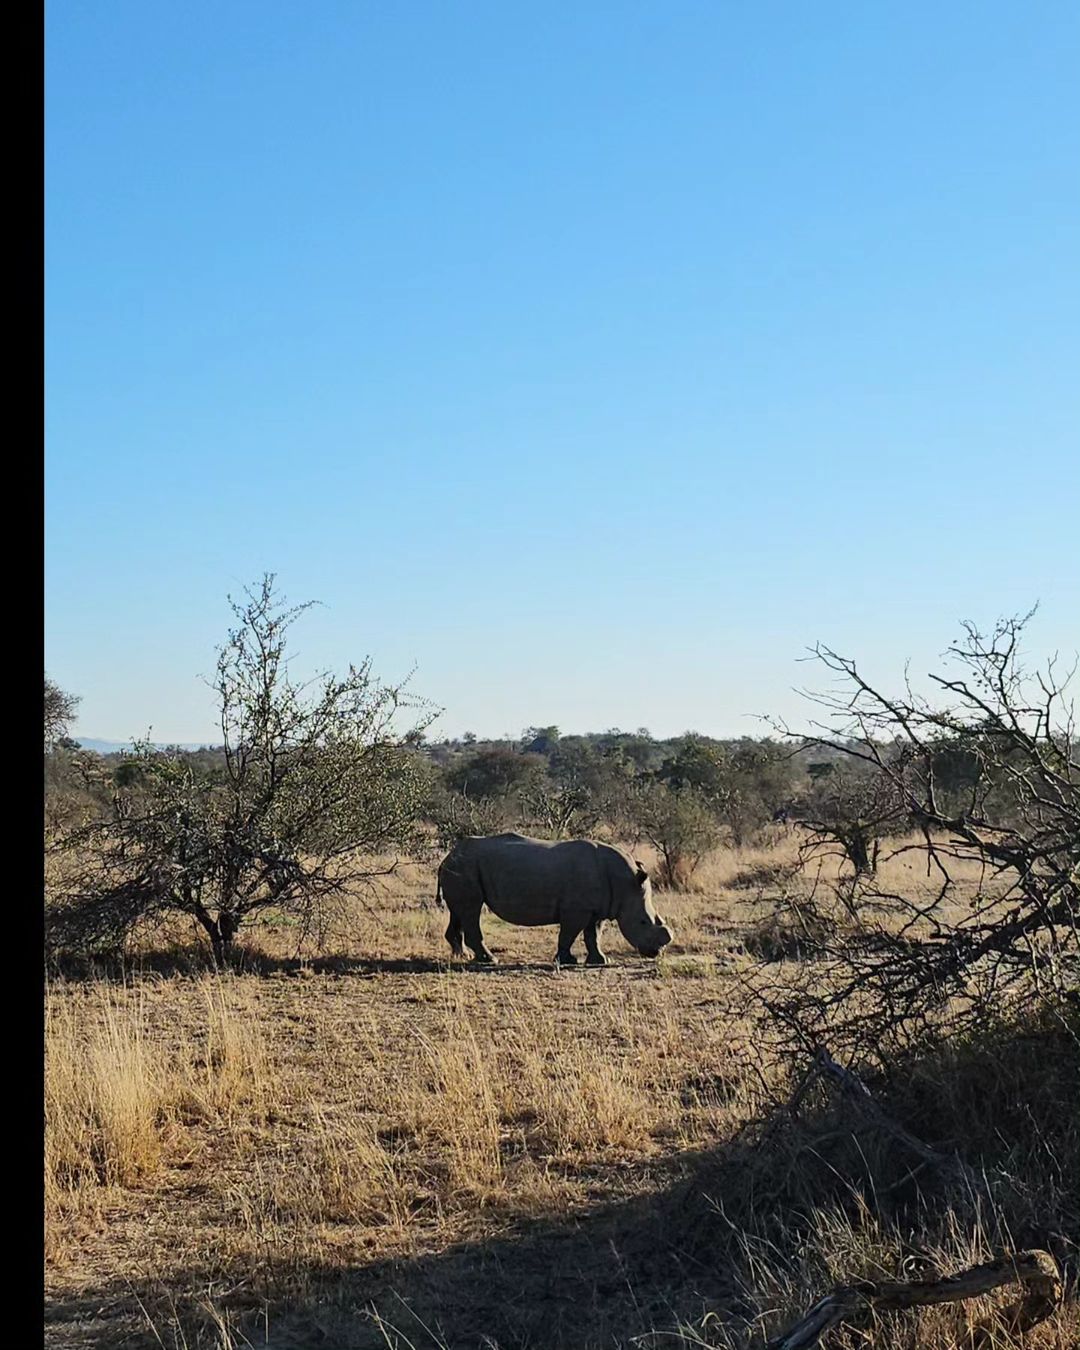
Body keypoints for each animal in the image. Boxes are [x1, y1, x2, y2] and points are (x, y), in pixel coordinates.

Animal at [434, 826, 669, 966]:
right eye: (643, 922)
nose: (656, 952)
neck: (625, 883)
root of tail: (446, 858)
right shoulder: (576, 910)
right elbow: (569, 934)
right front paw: (567, 961)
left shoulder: (596, 909)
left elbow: (593, 935)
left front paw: (601, 961)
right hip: (465, 867)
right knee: (471, 911)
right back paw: (489, 960)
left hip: (462, 869)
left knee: (460, 911)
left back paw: (462, 955)